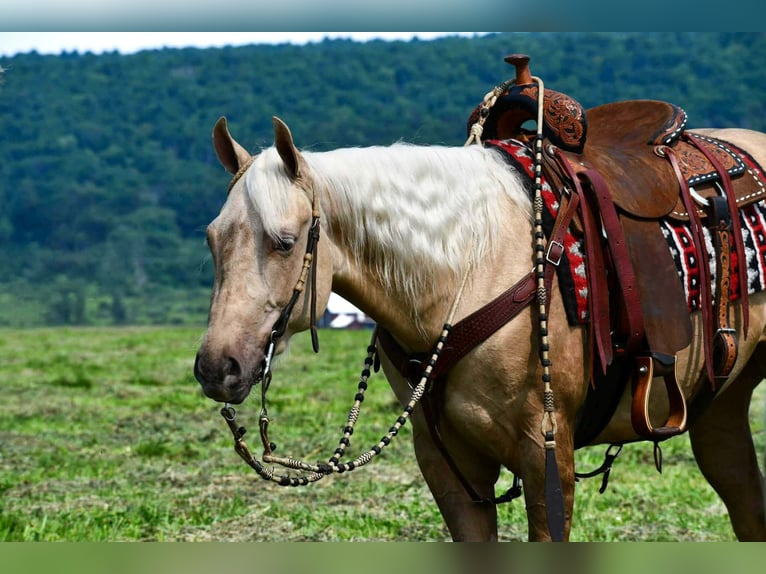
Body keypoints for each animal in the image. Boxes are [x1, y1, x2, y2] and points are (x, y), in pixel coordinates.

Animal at [193, 115, 766, 541]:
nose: (217, 368)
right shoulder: (447, 464)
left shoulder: (546, 455)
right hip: (720, 407)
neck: (470, 268)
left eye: (285, 242)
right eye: (211, 238)